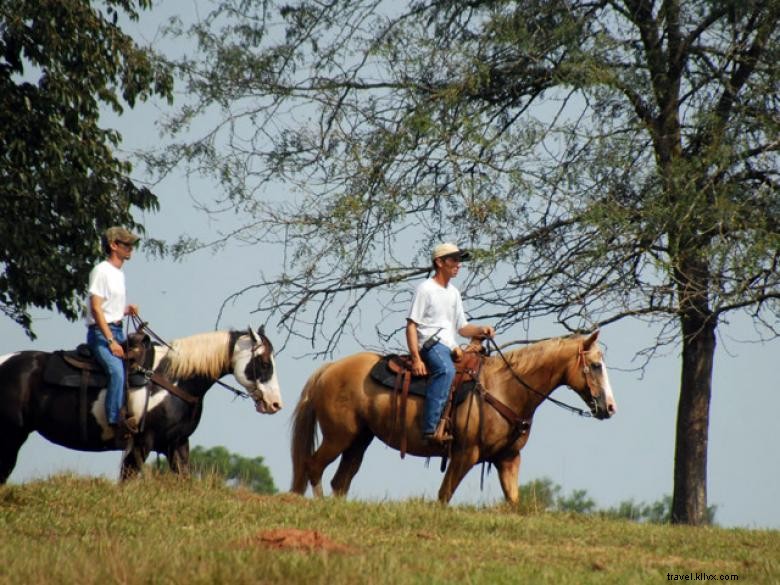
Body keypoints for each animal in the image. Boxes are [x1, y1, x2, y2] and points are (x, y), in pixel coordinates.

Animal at [0, 326, 280, 482]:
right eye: (265, 363)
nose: (276, 403)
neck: (171, 379)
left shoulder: (177, 445)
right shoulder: (140, 443)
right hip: (11, 437)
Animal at [290, 330, 616, 504]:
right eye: (596, 365)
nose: (610, 407)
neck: (505, 388)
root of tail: (329, 369)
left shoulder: (508, 459)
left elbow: (513, 501)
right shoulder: (465, 454)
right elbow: (444, 495)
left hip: (359, 440)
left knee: (340, 480)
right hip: (338, 436)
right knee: (313, 466)